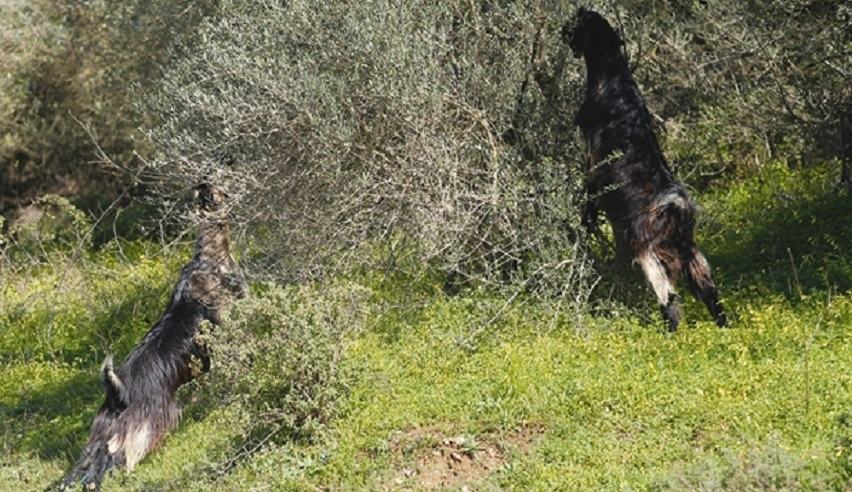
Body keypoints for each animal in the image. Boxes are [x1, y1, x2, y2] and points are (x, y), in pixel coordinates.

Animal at [59, 184, 246, 488]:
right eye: (221, 189)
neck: (209, 258)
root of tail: (117, 391)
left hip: (103, 431)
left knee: (89, 463)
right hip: (148, 423)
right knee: (123, 455)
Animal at [564, 6, 728, 330]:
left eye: (577, 24)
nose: (563, 31)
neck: (615, 82)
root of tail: (678, 211)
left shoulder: (593, 161)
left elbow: (589, 194)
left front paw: (586, 222)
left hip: (649, 253)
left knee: (670, 300)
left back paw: (670, 332)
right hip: (691, 255)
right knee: (710, 292)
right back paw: (725, 327)